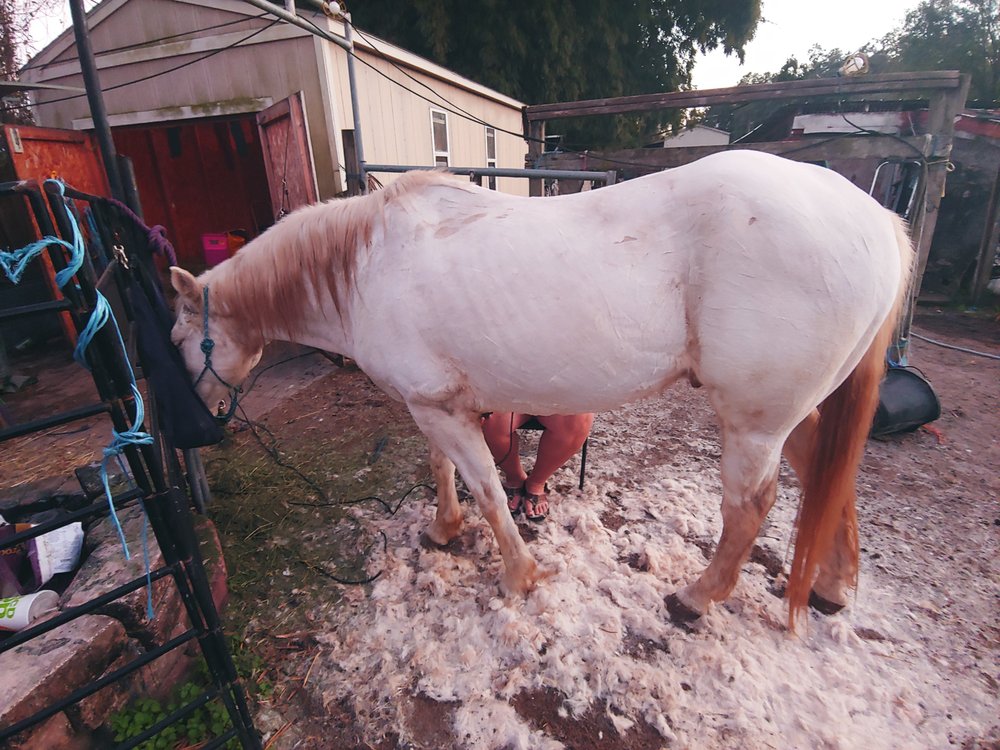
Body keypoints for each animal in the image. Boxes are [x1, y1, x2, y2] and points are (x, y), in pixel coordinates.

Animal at [169, 150, 912, 630]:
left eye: (178, 339)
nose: (195, 426)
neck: (368, 264)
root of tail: (878, 221)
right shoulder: (435, 404)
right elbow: (443, 470)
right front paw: (443, 529)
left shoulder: (437, 407)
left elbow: (489, 490)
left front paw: (518, 574)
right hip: (793, 411)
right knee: (826, 474)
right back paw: (832, 589)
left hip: (755, 420)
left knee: (752, 507)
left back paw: (695, 600)